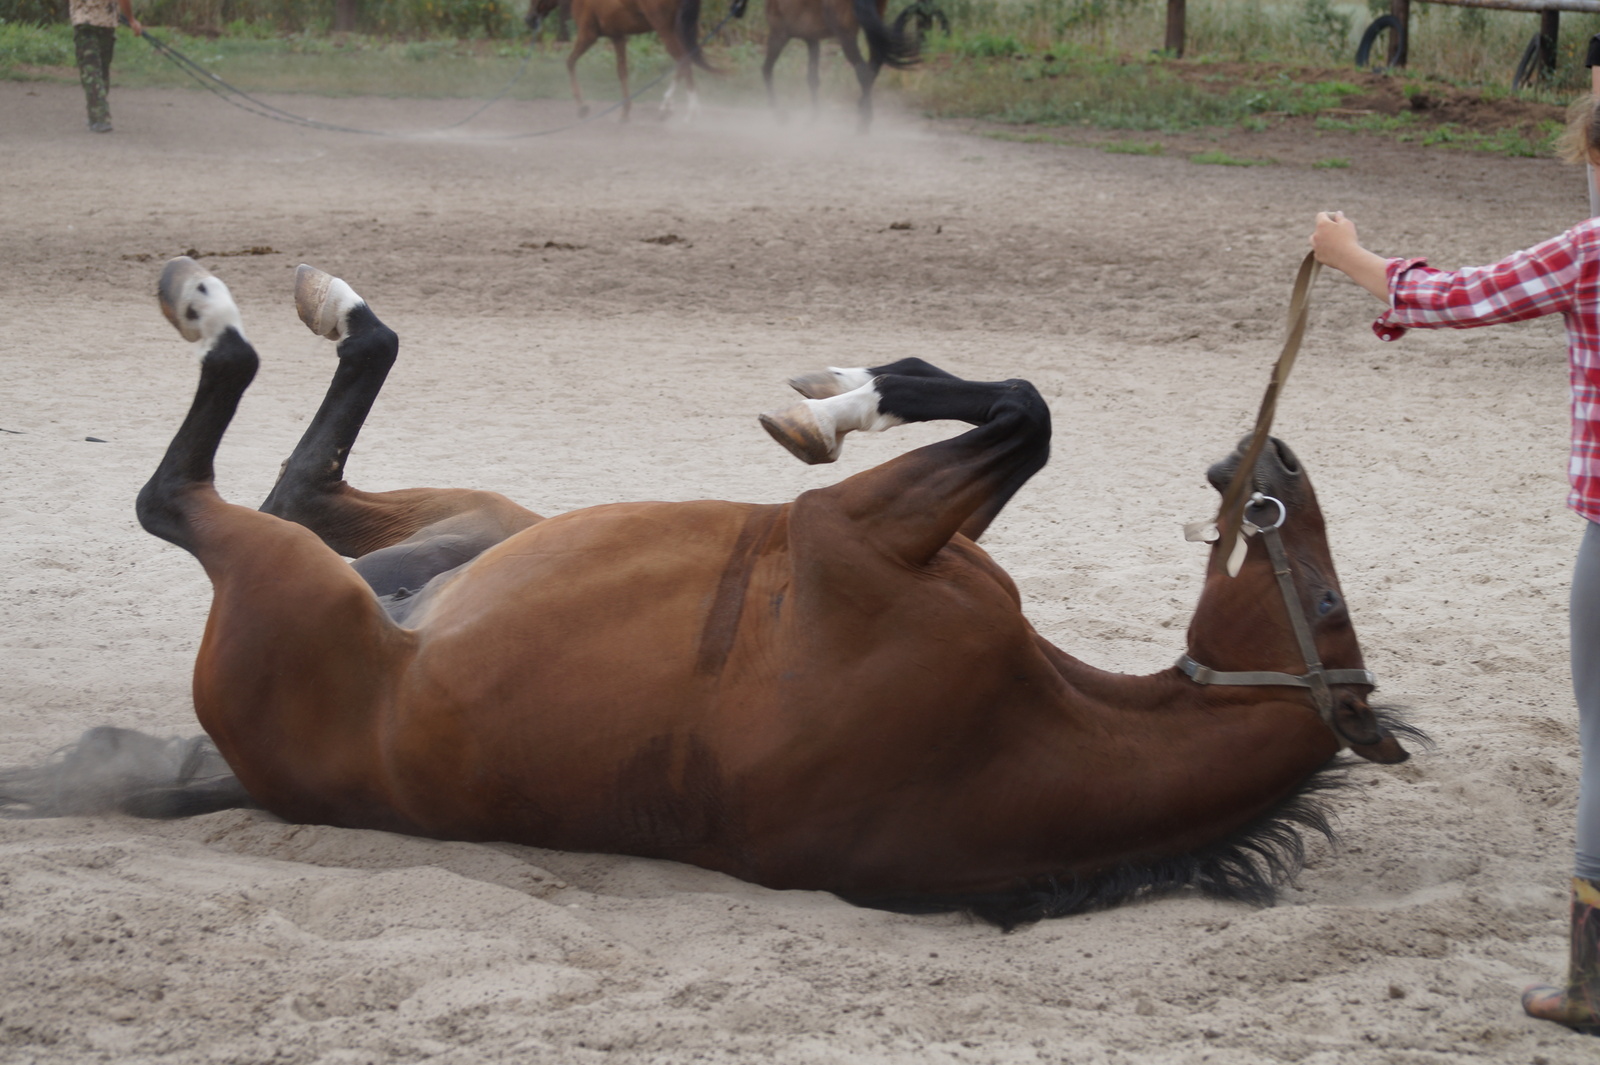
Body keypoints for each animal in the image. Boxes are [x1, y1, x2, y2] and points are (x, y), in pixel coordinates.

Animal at [531, 0, 713, 119]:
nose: (529, 19)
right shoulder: (617, 36)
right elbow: (622, 72)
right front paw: (625, 111)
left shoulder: (588, 35)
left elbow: (570, 62)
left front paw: (582, 107)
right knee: (684, 63)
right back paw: (668, 106)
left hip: (666, 31)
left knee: (684, 61)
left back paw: (690, 110)